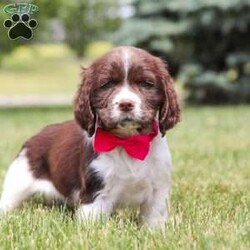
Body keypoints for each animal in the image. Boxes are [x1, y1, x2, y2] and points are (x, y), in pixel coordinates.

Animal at [0, 47, 180, 229]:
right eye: (107, 84)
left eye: (146, 84)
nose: (126, 104)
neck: (127, 141)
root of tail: (36, 136)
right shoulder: (96, 191)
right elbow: (93, 225)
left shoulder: (158, 189)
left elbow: (154, 220)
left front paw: (155, 232)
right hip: (19, 179)